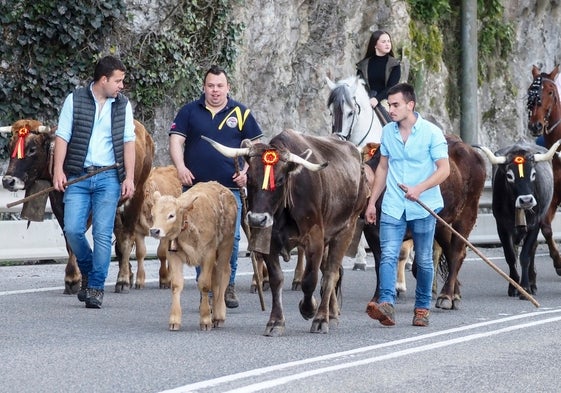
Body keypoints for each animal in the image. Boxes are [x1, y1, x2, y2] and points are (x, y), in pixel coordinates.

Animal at [1, 118, 154, 292]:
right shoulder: (58, 204)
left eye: (32, 149)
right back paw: (127, 273)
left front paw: (75, 278)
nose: (7, 181)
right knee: (120, 237)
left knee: (127, 237)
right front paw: (72, 277)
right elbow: (69, 238)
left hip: (135, 194)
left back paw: (123, 280)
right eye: (10, 147)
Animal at [149, 181, 236, 330]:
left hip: (225, 246)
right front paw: (174, 320)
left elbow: (205, 284)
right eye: (153, 214)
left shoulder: (208, 254)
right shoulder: (173, 256)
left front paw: (205, 320)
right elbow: (176, 284)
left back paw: (219, 315)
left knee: (223, 274)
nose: (155, 231)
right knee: (216, 280)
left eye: (171, 215)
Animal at [201, 128, 368, 334]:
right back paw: (333, 313)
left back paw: (322, 318)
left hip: (346, 230)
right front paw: (275, 321)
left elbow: (310, 279)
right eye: (249, 178)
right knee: (331, 272)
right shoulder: (268, 240)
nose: (256, 219)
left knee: (330, 273)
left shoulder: (315, 239)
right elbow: (276, 279)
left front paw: (308, 308)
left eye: (280, 180)